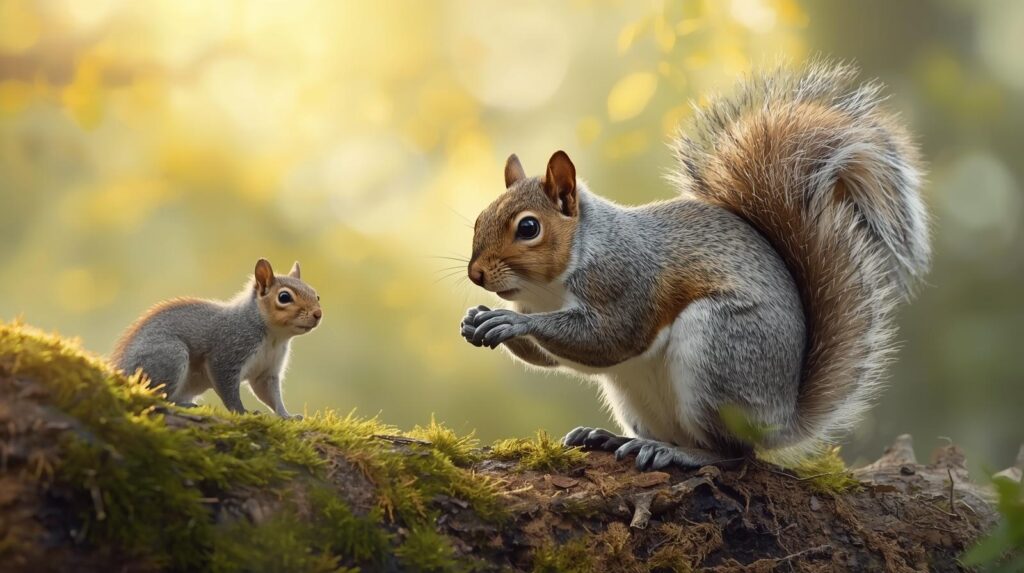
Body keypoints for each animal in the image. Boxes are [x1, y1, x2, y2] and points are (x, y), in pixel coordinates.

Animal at [111, 258, 322, 418]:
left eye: (316, 295)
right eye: (284, 297)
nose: (318, 314)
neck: (273, 337)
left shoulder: (267, 371)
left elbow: (270, 396)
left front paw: (287, 416)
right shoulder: (229, 350)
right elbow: (228, 389)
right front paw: (242, 411)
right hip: (167, 357)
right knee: (157, 395)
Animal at [460, 62, 930, 471]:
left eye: (529, 227)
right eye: (479, 217)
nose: (475, 275)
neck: (549, 289)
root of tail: (779, 419)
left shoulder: (629, 279)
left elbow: (611, 336)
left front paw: (509, 322)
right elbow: (550, 358)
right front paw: (477, 318)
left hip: (718, 352)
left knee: (733, 453)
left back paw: (680, 454)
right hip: (636, 395)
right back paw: (614, 438)